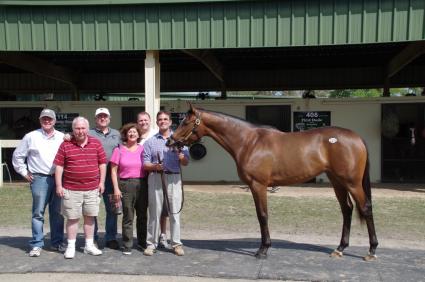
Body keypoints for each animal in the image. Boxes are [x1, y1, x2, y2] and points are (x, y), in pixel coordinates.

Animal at [166, 103, 378, 260]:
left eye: (186, 122)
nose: (170, 142)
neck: (249, 142)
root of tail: (357, 137)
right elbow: (261, 216)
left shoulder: (258, 185)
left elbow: (263, 216)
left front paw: (263, 250)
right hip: (337, 182)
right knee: (347, 209)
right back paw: (340, 248)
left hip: (352, 183)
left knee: (365, 208)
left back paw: (371, 250)